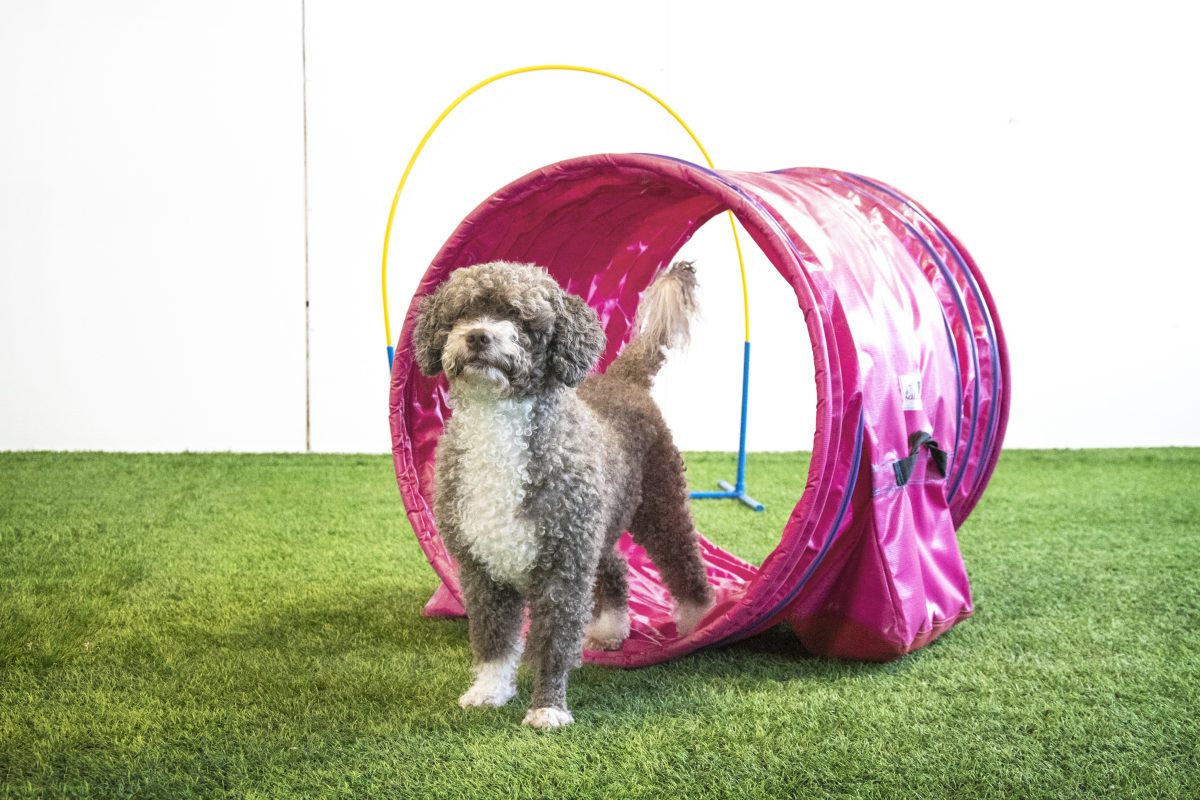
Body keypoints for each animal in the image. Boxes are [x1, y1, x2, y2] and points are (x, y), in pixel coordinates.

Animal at [411, 260, 714, 728]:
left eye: (519, 317)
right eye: (462, 312)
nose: (478, 335)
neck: (499, 423)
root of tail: (623, 377)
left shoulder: (562, 569)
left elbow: (553, 644)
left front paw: (547, 708)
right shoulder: (482, 568)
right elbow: (493, 638)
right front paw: (489, 690)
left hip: (660, 503)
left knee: (683, 560)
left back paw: (699, 621)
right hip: (596, 524)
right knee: (616, 567)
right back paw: (610, 628)